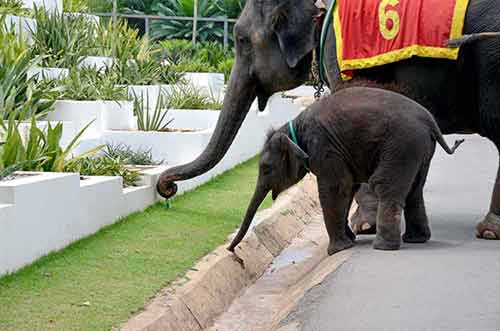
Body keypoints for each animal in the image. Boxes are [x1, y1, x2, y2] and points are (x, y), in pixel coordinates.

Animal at [229, 87, 462, 255]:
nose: (232, 250)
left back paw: (383, 247)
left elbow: (336, 188)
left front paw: (336, 251)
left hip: (401, 145)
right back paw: (416, 240)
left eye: (266, 168)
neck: (292, 126)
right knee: (415, 189)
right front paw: (349, 240)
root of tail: (430, 121)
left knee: (385, 185)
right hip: (420, 149)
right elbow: (348, 188)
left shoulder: (324, 147)